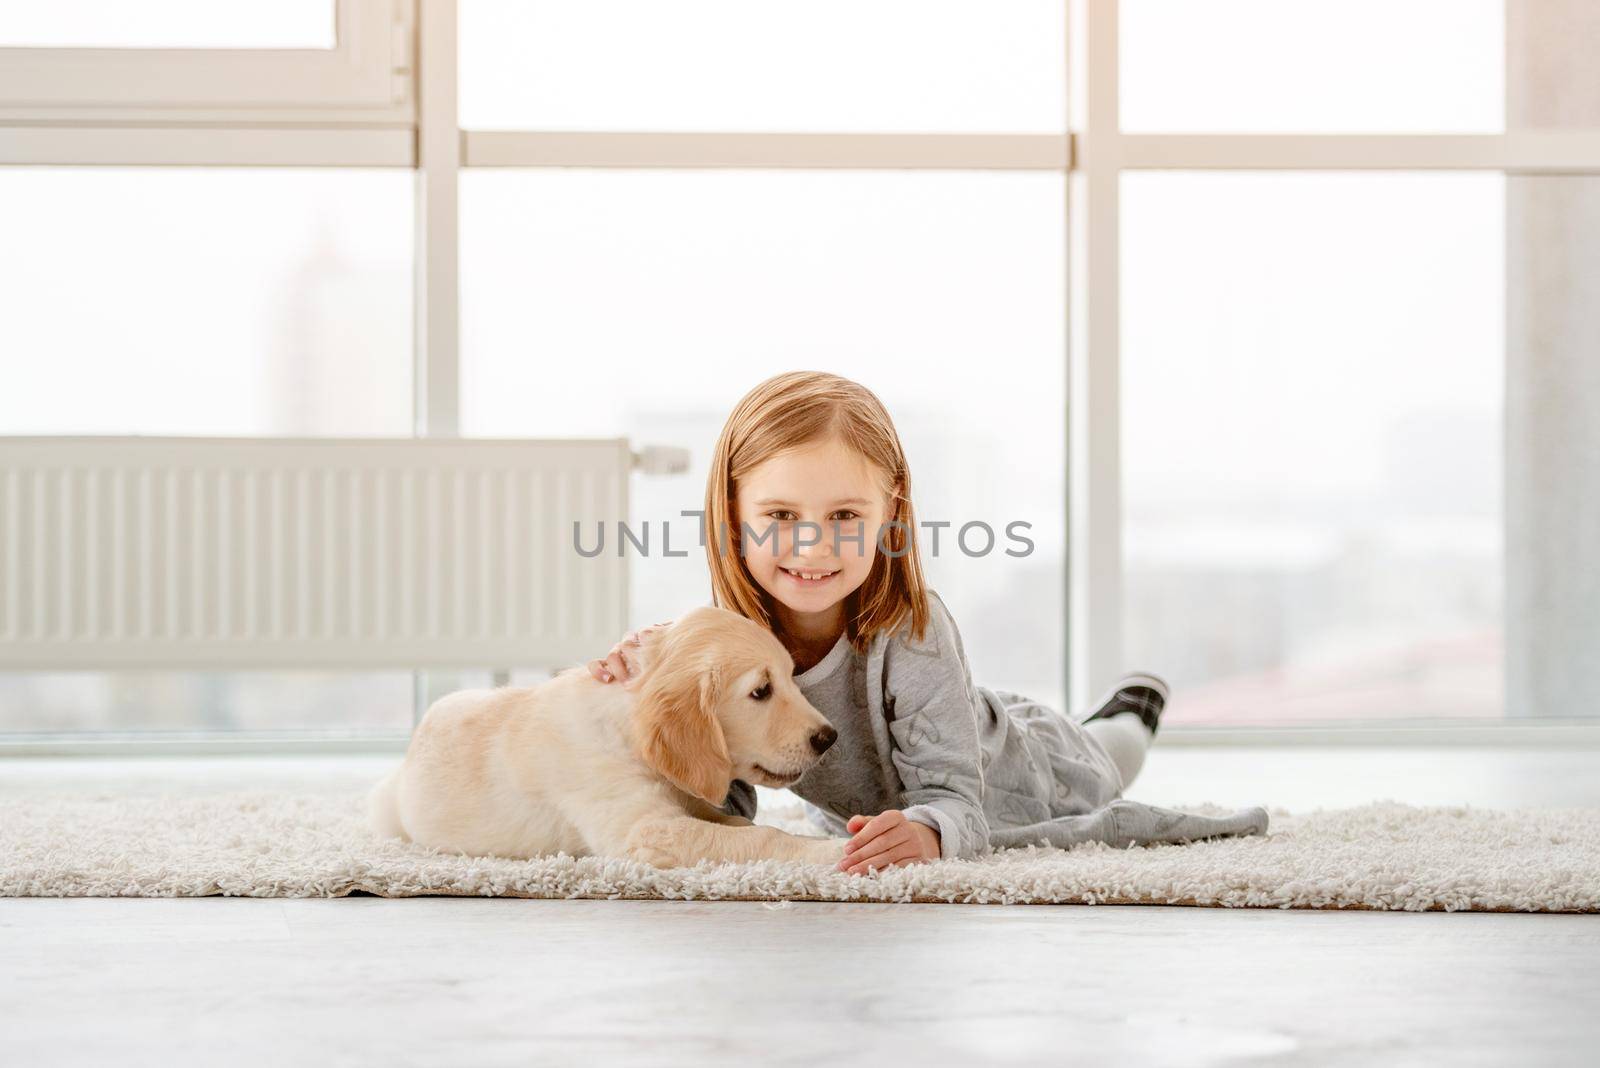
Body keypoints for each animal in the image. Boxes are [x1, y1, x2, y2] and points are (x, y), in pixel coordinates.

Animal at [369, 607, 857, 869]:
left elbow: (742, 826)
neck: (628, 735)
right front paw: (834, 850)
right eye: (761, 691)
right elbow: (761, 837)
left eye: (791, 678)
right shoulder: (642, 830)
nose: (828, 737)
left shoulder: (690, 803)